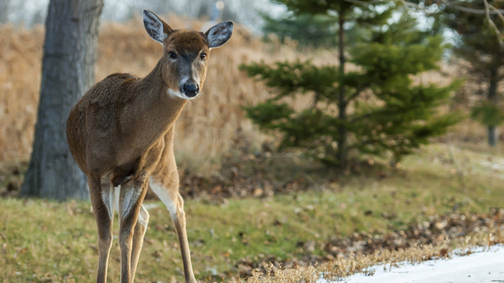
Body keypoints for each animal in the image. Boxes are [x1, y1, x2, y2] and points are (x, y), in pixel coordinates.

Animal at [64, 10, 233, 282]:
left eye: (203, 54)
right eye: (171, 52)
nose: (191, 87)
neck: (125, 135)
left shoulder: (140, 174)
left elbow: (124, 233)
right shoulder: (97, 172)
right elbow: (106, 235)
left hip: (163, 163)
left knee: (176, 206)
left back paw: (190, 277)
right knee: (144, 216)